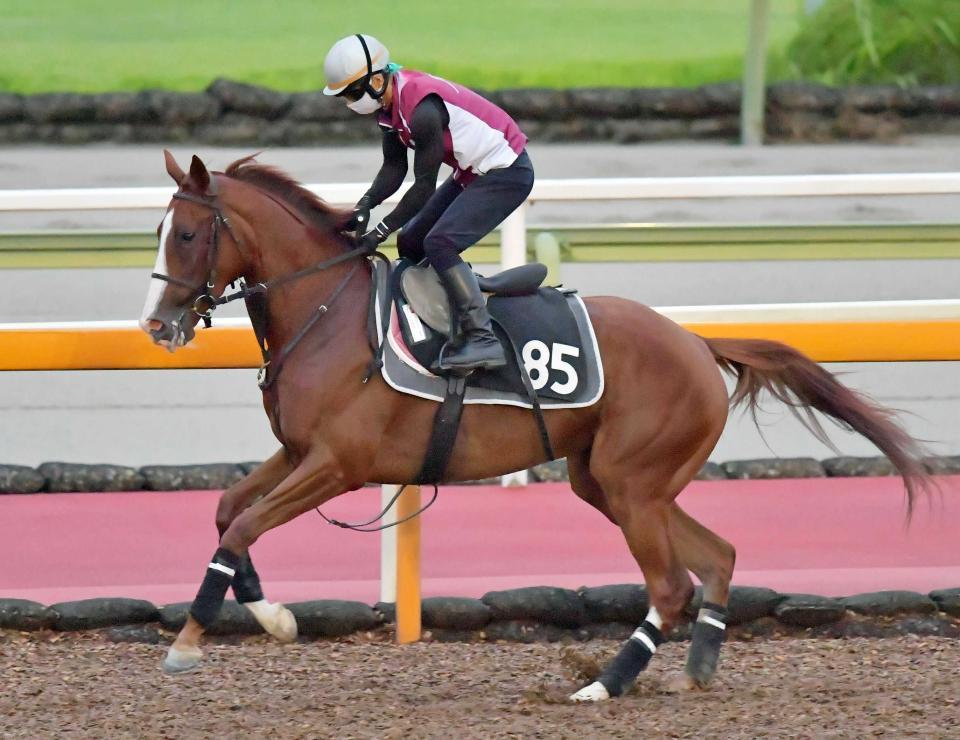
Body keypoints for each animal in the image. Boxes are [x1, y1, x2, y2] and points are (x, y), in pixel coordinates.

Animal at [140, 151, 933, 700]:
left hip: (631, 481)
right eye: (159, 231)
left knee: (670, 584)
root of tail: (696, 342)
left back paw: (604, 683)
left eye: (188, 234)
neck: (326, 314)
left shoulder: (339, 463)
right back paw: (698, 667)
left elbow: (244, 525)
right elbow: (226, 511)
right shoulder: (299, 452)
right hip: (612, 483)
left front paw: (189, 640)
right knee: (717, 558)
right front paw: (272, 615)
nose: (157, 325)